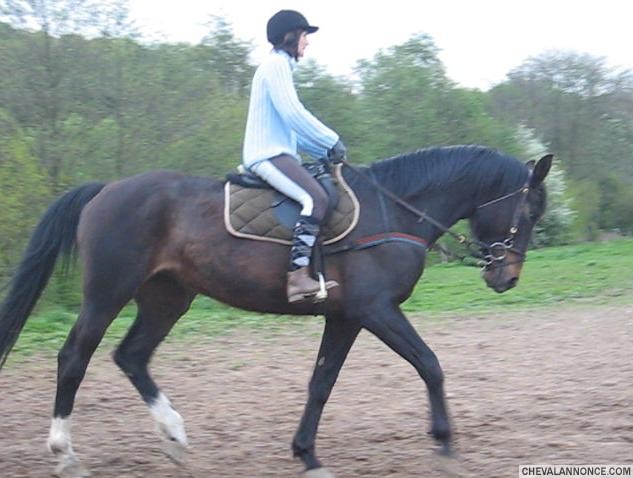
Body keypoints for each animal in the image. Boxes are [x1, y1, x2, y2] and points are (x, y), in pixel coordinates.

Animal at [0, 146, 552, 478]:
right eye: (529, 212)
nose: (506, 278)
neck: (394, 210)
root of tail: (106, 189)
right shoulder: (376, 310)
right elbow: (430, 364)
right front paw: (444, 442)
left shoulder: (346, 317)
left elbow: (321, 383)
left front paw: (307, 454)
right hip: (107, 292)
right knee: (74, 358)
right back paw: (65, 454)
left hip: (167, 297)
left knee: (131, 356)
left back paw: (174, 436)